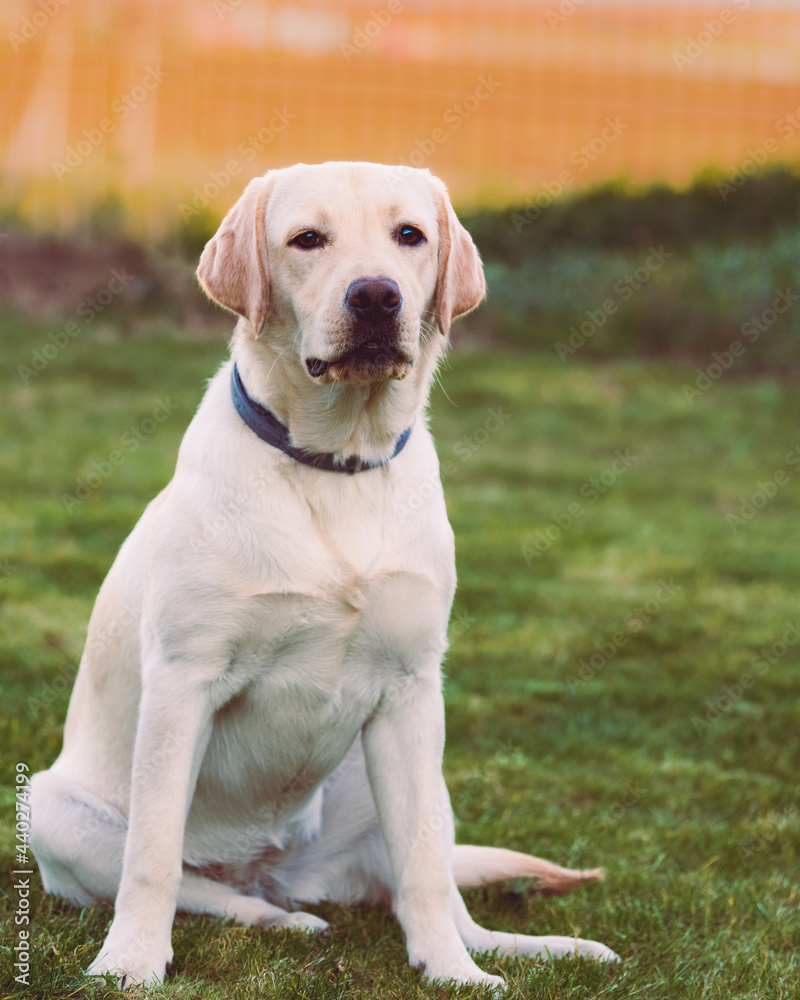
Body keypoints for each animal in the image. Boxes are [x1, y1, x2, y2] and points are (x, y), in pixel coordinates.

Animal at [29, 160, 620, 988]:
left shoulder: (411, 688)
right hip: (49, 808)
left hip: (404, 770)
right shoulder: (182, 682)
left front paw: (450, 974)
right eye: (307, 239)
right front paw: (132, 964)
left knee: (432, 883)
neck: (337, 463)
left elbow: (423, 872)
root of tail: (270, 868)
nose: (376, 295)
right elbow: (152, 858)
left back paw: (521, 948)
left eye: (410, 235)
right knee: (202, 887)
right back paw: (281, 919)